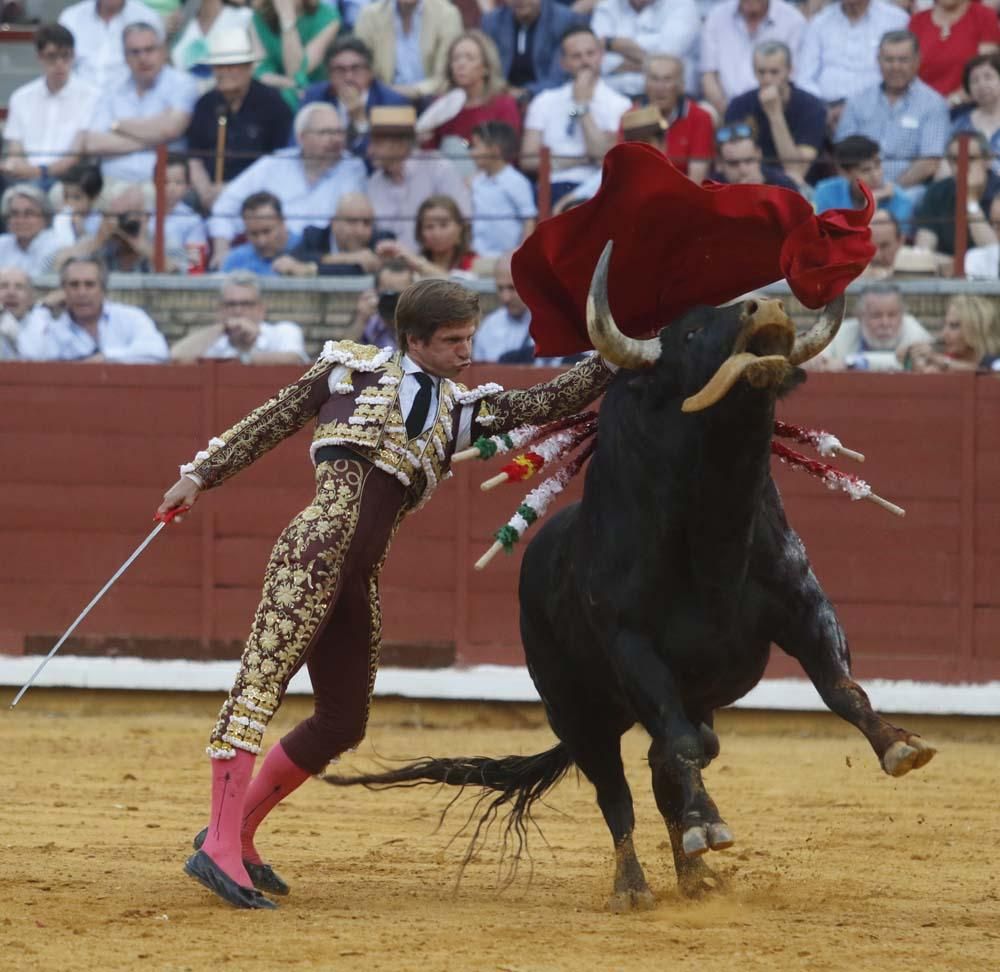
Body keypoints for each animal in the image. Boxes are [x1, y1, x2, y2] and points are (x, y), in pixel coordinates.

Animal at [330, 243, 936, 912]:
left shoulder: (804, 605)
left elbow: (840, 687)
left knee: (667, 760)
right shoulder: (632, 644)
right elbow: (676, 748)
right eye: (690, 331)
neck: (714, 534)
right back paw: (637, 883)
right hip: (577, 712)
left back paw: (696, 868)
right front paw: (703, 828)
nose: (772, 306)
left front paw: (900, 745)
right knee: (619, 789)